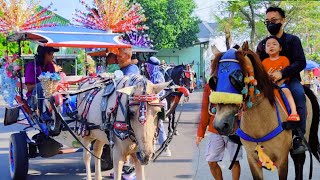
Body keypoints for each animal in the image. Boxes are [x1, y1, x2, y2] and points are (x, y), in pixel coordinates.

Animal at [209, 42, 318, 180]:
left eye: (237, 78)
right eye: (213, 81)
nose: (220, 125)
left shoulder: (282, 159)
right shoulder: (252, 159)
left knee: (299, 160)